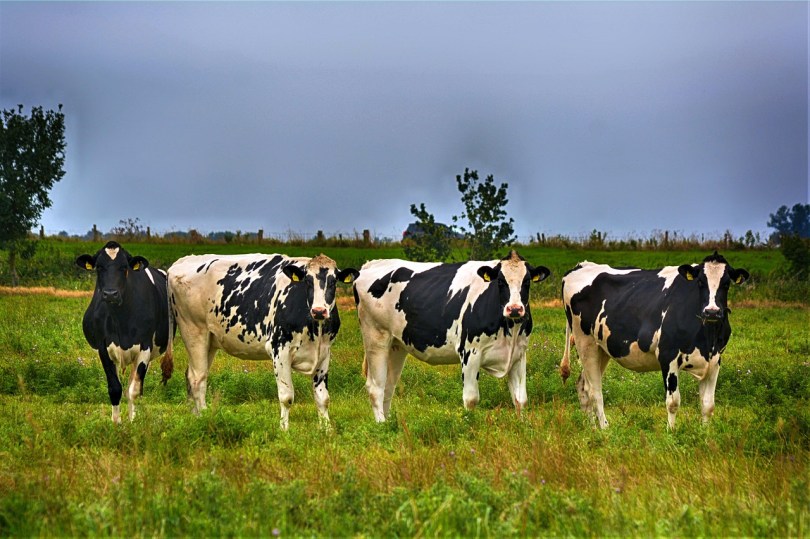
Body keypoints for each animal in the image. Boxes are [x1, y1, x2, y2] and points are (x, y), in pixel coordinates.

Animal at [76, 241, 173, 424]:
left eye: (124, 267)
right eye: (99, 267)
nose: (110, 294)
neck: (120, 319)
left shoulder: (145, 348)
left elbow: (134, 390)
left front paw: (132, 421)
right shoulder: (103, 348)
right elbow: (115, 388)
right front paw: (117, 423)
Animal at [167, 253, 359, 430]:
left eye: (333, 282)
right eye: (308, 281)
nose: (319, 310)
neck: (315, 328)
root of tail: (181, 261)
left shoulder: (324, 352)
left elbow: (323, 398)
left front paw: (327, 431)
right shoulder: (279, 350)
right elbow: (287, 397)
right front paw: (284, 431)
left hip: (210, 340)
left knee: (192, 375)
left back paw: (195, 418)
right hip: (194, 331)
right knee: (197, 379)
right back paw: (203, 418)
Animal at [353, 250, 551, 421]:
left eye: (527, 282)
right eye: (500, 282)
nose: (515, 309)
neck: (509, 329)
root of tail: (371, 264)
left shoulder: (519, 354)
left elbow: (520, 399)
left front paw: (522, 426)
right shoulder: (470, 352)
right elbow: (471, 399)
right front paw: (470, 426)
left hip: (396, 345)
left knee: (388, 386)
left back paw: (390, 423)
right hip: (376, 337)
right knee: (375, 388)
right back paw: (381, 425)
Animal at [560, 251, 749, 429]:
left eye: (726, 283)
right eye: (700, 282)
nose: (712, 311)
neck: (707, 339)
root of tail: (581, 265)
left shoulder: (715, 360)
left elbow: (708, 405)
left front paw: (705, 434)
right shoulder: (668, 356)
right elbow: (673, 402)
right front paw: (671, 433)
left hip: (602, 348)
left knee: (583, 385)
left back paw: (591, 428)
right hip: (585, 342)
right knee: (595, 391)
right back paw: (605, 429)